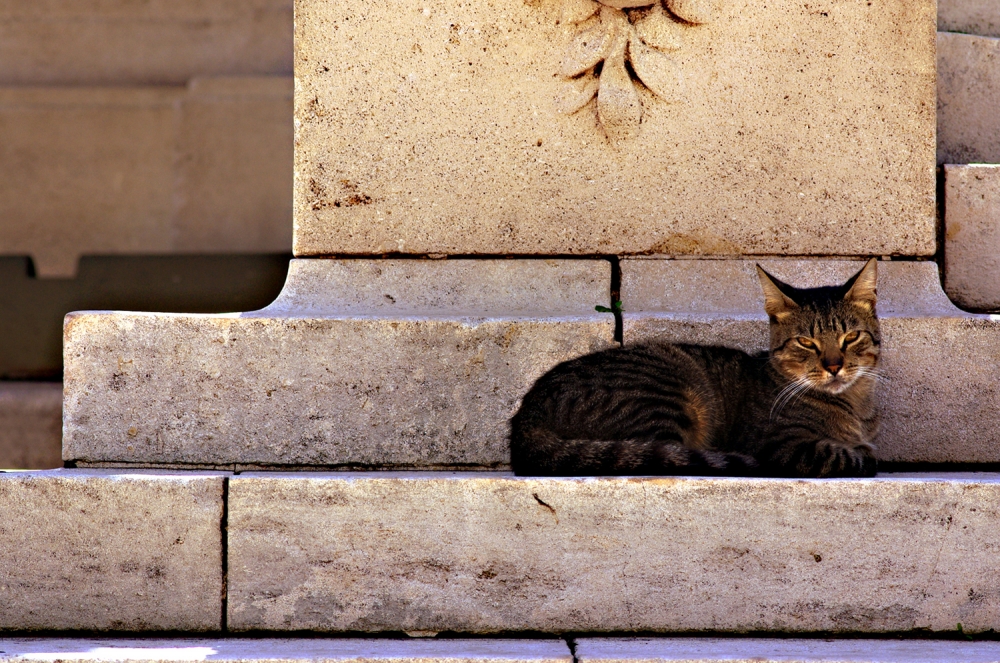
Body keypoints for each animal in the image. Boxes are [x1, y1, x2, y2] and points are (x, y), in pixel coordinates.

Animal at [512, 258, 880, 478]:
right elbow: (851, 455)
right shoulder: (779, 446)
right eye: (806, 342)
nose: (834, 366)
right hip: (663, 399)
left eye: (851, 336)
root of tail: (525, 418)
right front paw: (861, 453)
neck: (855, 408)